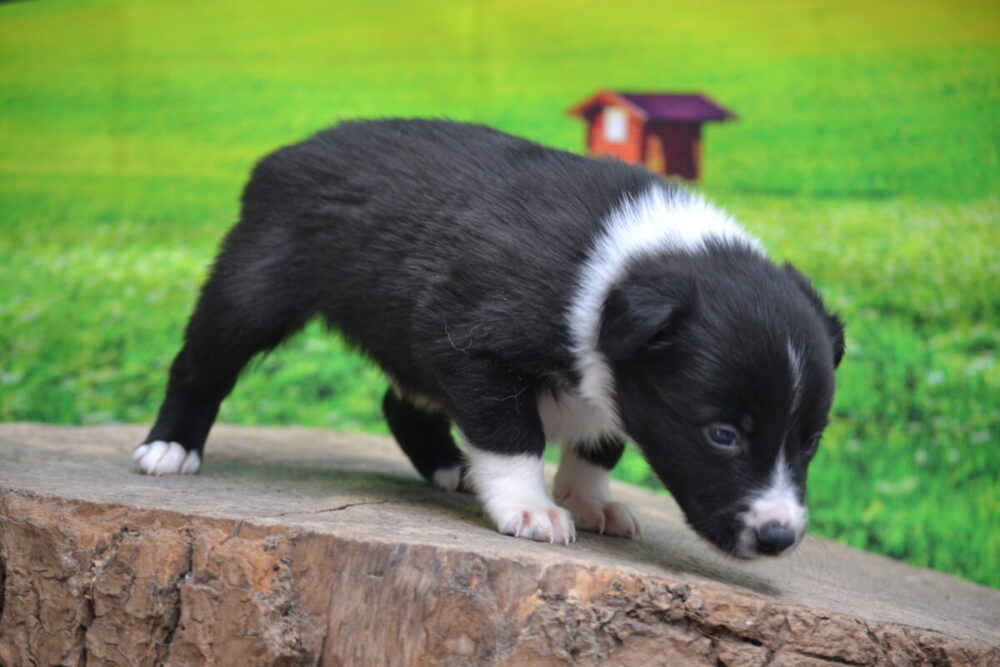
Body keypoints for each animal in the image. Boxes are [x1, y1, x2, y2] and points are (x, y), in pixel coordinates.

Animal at [133, 119, 844, 558]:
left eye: (810, 442)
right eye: (722, 435)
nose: (779, 539)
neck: (627, 264)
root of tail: (285, 152)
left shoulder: (606, 370)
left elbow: (601, 439)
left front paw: (592, 501)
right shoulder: (475, 346)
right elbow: (512, 435)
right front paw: (531, 510)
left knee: (399, 402)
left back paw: (450, 467)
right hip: (255, 280)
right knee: (201, 362)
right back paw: (169, 446)